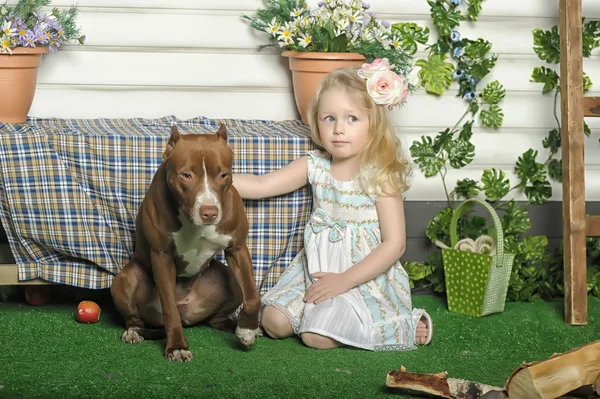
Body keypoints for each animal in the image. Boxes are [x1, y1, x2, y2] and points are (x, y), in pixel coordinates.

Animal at [110, 124, 260, 362]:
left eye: (223, 175)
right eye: (187, 175)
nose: (209, 212)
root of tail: (188, 314)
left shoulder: (237, 248)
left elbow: (253, 296)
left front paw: (247, 330)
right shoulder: (161, 255)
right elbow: (170, 308)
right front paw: (177, 347)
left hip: (229, 280)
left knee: (216, 318)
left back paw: (235, 326)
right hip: (127, 277)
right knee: (136, 317)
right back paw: (133, 332)